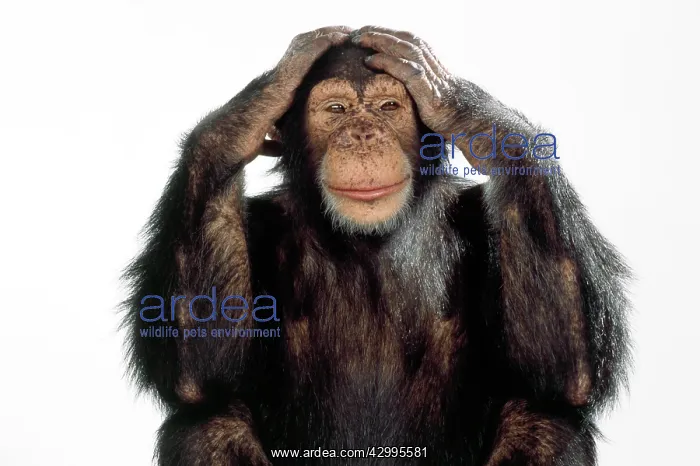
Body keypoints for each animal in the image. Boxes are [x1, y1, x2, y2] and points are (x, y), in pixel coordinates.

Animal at [121, 26, 631, 465]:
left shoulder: (485, 222)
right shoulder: (256, 228)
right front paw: (254, 105)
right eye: (336, 109)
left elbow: (560, 371)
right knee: (208, 424)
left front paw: (458, 103)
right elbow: (204, 371)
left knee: (544, 421)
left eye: (388, 106)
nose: (364, 133)